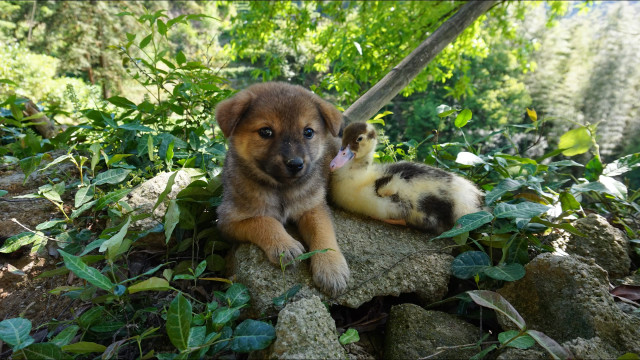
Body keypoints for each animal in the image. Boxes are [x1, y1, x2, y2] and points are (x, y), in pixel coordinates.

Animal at [215, 83, 350, 296]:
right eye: (266, 132)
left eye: (308, 132)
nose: (295, 164)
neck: (282, 190)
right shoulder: (228, 221)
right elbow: (264, 221)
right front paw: (285, 245)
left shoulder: (313, 207)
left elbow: (323, 233)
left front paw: (331, 268)